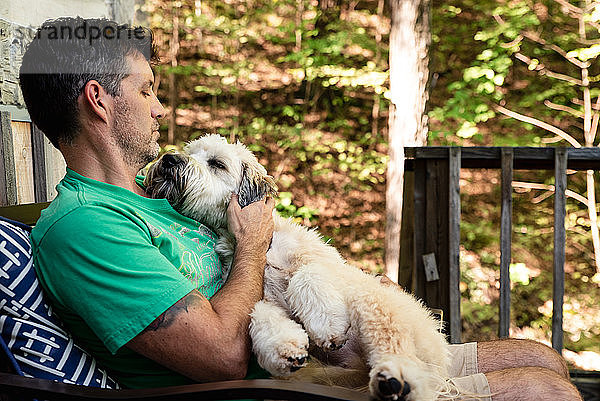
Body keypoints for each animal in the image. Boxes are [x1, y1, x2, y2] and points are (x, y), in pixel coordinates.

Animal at [144, 135, 450, 400]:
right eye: (191, 151)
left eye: (217, 164)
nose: (169, 159)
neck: (268, 250)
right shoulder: (264, 299)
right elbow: (262, 315)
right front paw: (285, 349)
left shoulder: (324, 264)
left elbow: (305, 275)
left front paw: (327, 327)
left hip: (375, 302)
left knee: (399, 351)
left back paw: (396, 379)